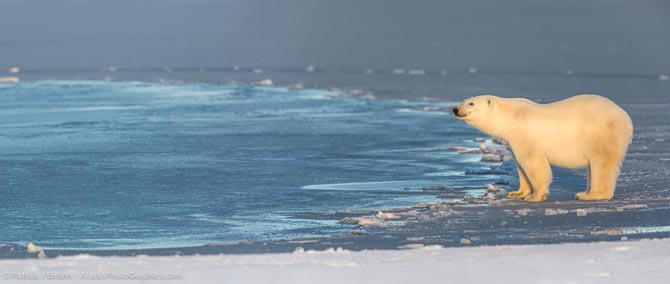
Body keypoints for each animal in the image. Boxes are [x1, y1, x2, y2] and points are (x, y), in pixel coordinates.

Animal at [452, 95, 636, 202]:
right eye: (463, 101)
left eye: (471, 103)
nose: (455, 109)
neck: (510, 116)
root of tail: (626, 119)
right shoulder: (513, 140)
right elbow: (520, 165)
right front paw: (517, 193)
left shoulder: (524, 133)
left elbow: (532, 162)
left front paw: (535, 196)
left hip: (601, 134)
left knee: (601, 163)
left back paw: (589, 195)